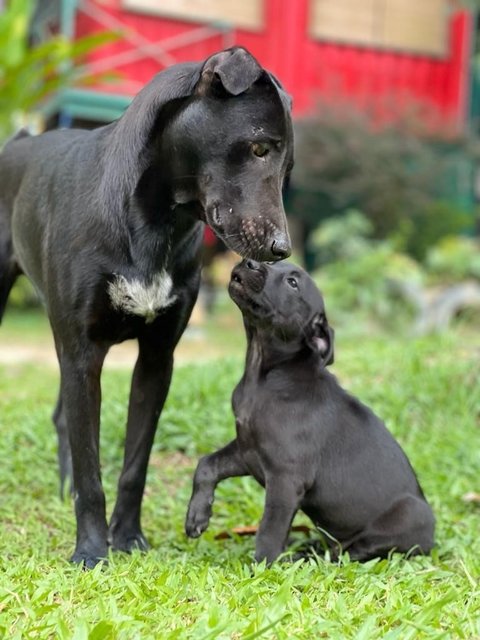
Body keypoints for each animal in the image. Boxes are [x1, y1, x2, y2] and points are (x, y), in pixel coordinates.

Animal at [0, 47, 294, 568]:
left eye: (287, 170)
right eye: (260, 148)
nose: (283, 248)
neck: (156, 217)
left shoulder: (156, 359)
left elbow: (134, 463)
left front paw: (128, 539)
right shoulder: (82, 354)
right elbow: (92, 471)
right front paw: (91, 551)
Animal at [185, 258, 436, 560]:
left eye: (293, 283)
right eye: (272, 263)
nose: (249, 262)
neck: (262, 373)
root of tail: (432, 542)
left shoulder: (286, 477)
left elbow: (270, 528)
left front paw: (262, 564)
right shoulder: (246, 450)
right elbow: (207, 464)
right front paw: (197, 516)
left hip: (406, 515)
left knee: (350, 552)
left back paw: (305, 556)